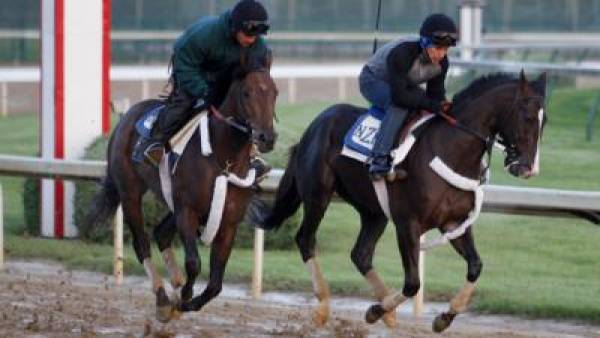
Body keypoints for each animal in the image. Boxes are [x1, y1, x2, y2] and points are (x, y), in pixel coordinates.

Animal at [87, 55, 278, 322]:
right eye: (247, 93)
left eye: (274, 92)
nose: (266, 138)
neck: (224, 158)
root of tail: (127, 116)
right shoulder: (187, 211)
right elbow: (194, 263)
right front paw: (184, 296)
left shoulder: (228, 222)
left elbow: (216, 283)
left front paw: (188, 300)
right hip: (130, 192)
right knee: (142, 243)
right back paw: (163, 298)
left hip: (172, 202)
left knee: (160, 233)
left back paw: (176, 283)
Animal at [251, 72, 548, 332]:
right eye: (527, 116)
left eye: (544, 122)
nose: (528, 168)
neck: (451, 150)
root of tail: (315, 125)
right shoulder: (408, 224)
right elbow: (413, 283)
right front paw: (375, 310)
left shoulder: (454, 223)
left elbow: (475, 266)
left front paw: (444, 317)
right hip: (318, 195)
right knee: (306, 239)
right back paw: (325, 306)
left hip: (374, 211)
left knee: (360, 254)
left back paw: (388, 312)